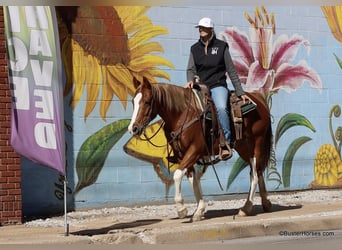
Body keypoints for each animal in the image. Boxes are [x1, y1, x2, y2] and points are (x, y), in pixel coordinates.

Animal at [128, 76, 272, 221]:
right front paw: (199, 210)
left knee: (254, 174)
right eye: (133, 102)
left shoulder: (194, 150)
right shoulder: (181, 154)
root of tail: (259, 99)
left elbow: (177, 175)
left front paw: (181, 209)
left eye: (147, 102)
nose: (133, 129)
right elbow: (192, 178)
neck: (182, 115)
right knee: (258, 171)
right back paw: (265, 203)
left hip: (256, 143)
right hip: (243, 147)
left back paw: (246, 208)